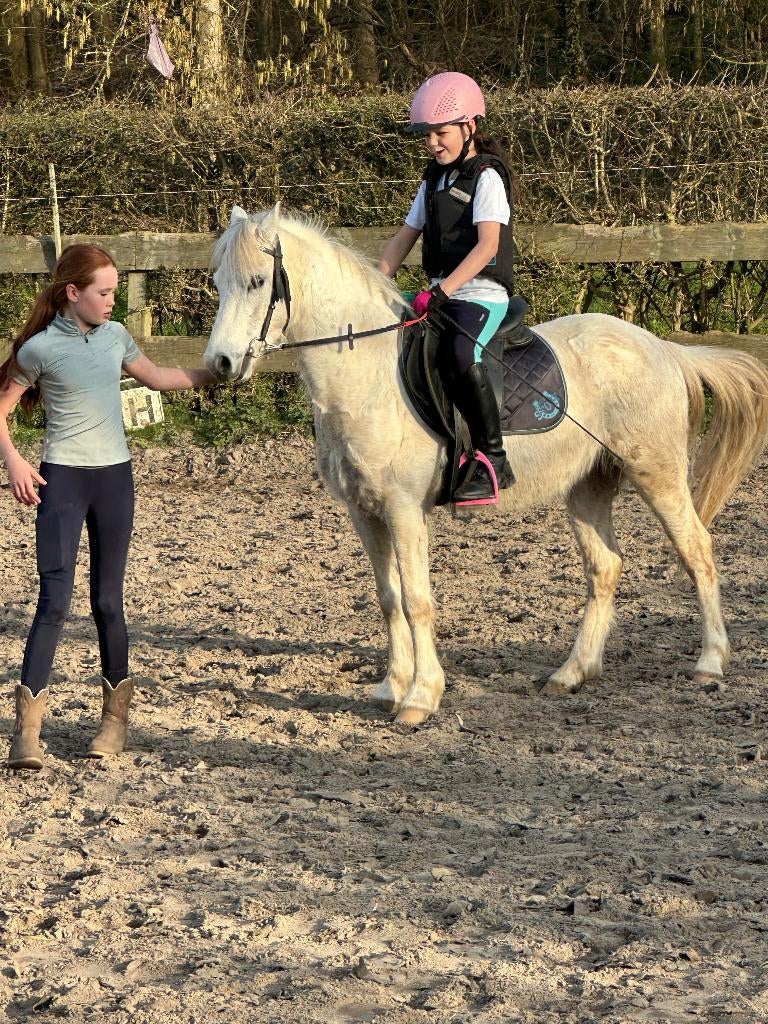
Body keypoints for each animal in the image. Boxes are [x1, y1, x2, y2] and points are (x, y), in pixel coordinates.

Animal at [204, 205, 768, 725]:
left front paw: (421, 697)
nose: (220, 364)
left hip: (657, 473)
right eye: (218, 283)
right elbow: (388, 599)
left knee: (697, 551)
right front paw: (390, 687)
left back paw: (710, 663)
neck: (366, 373)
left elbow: (417, 600)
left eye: (258, 281)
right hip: (588, 486)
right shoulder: (364, 511)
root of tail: (662, 347)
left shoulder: (404, 508)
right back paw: (572, 672)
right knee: (605, 567)